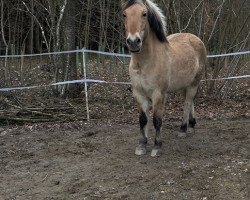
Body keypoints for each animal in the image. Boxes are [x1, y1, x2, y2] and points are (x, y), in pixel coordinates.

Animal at [121, 0, 207, 157]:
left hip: (194, 83)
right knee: (190, 101)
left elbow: (156, 120)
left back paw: (183, 130)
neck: (146, 62)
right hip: (184, 85)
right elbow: (143, 120)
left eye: (144, 13)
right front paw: (142, 145)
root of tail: (196, 39)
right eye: (124, 14)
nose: (133, 42)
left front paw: (157, 147)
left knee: (187, 103)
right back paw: (191, 126)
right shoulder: (138, 93)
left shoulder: (158, 94)